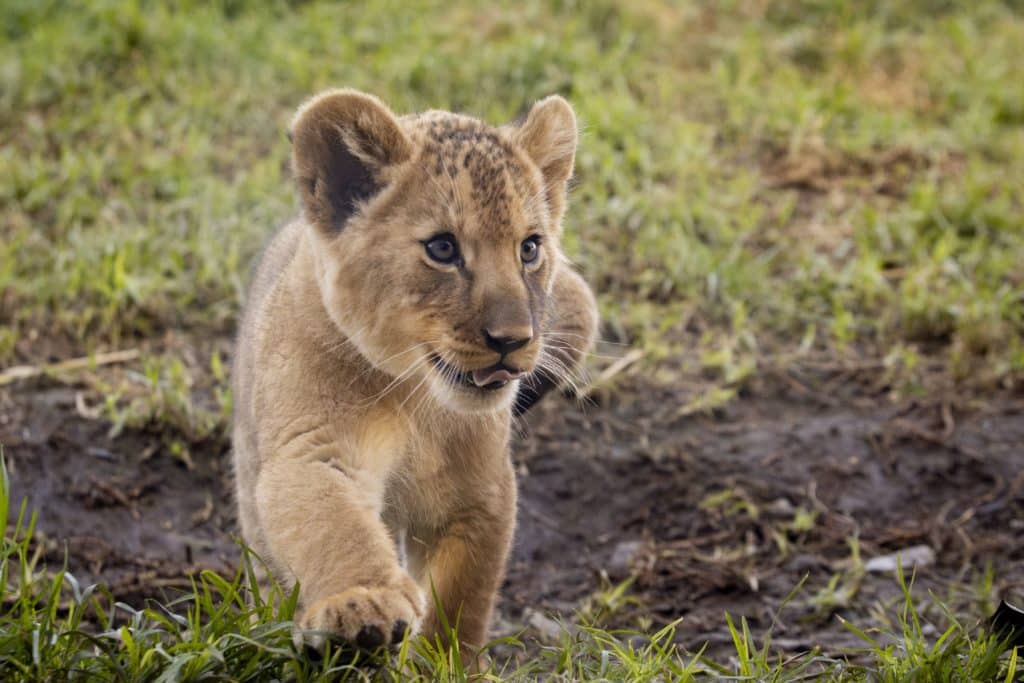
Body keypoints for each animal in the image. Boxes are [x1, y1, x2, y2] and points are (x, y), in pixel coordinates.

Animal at [231, 88, 597, 656]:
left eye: (530, 247)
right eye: (442, 248)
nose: (512, 340)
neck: (415, 402)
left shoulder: (478, 496)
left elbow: (458, 609)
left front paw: (441, 665)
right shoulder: (311, 447)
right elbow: (332, 523)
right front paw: (362, 603)